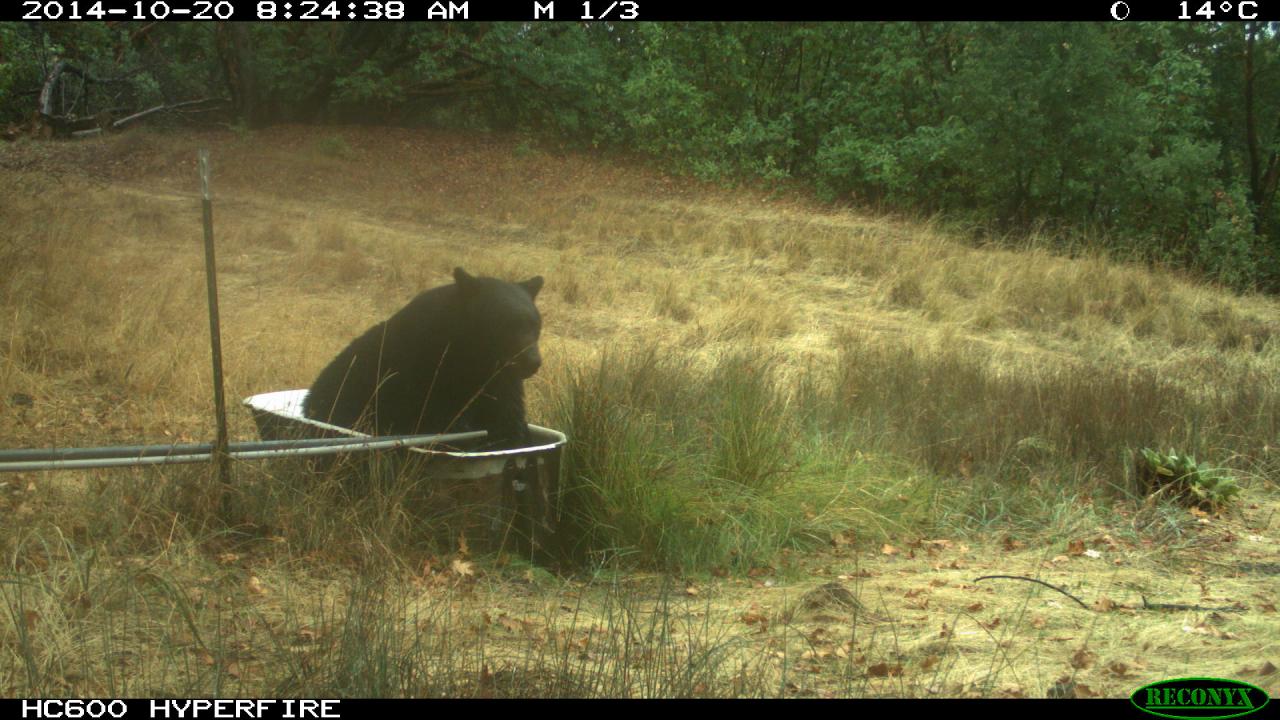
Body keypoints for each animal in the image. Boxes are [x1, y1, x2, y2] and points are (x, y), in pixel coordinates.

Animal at [303, 267, 544, 449]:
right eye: (505, 325)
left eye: (535, 325)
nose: (532, 362)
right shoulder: (423, 374)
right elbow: (439, 420)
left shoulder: (501, 380)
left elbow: (507, 417)